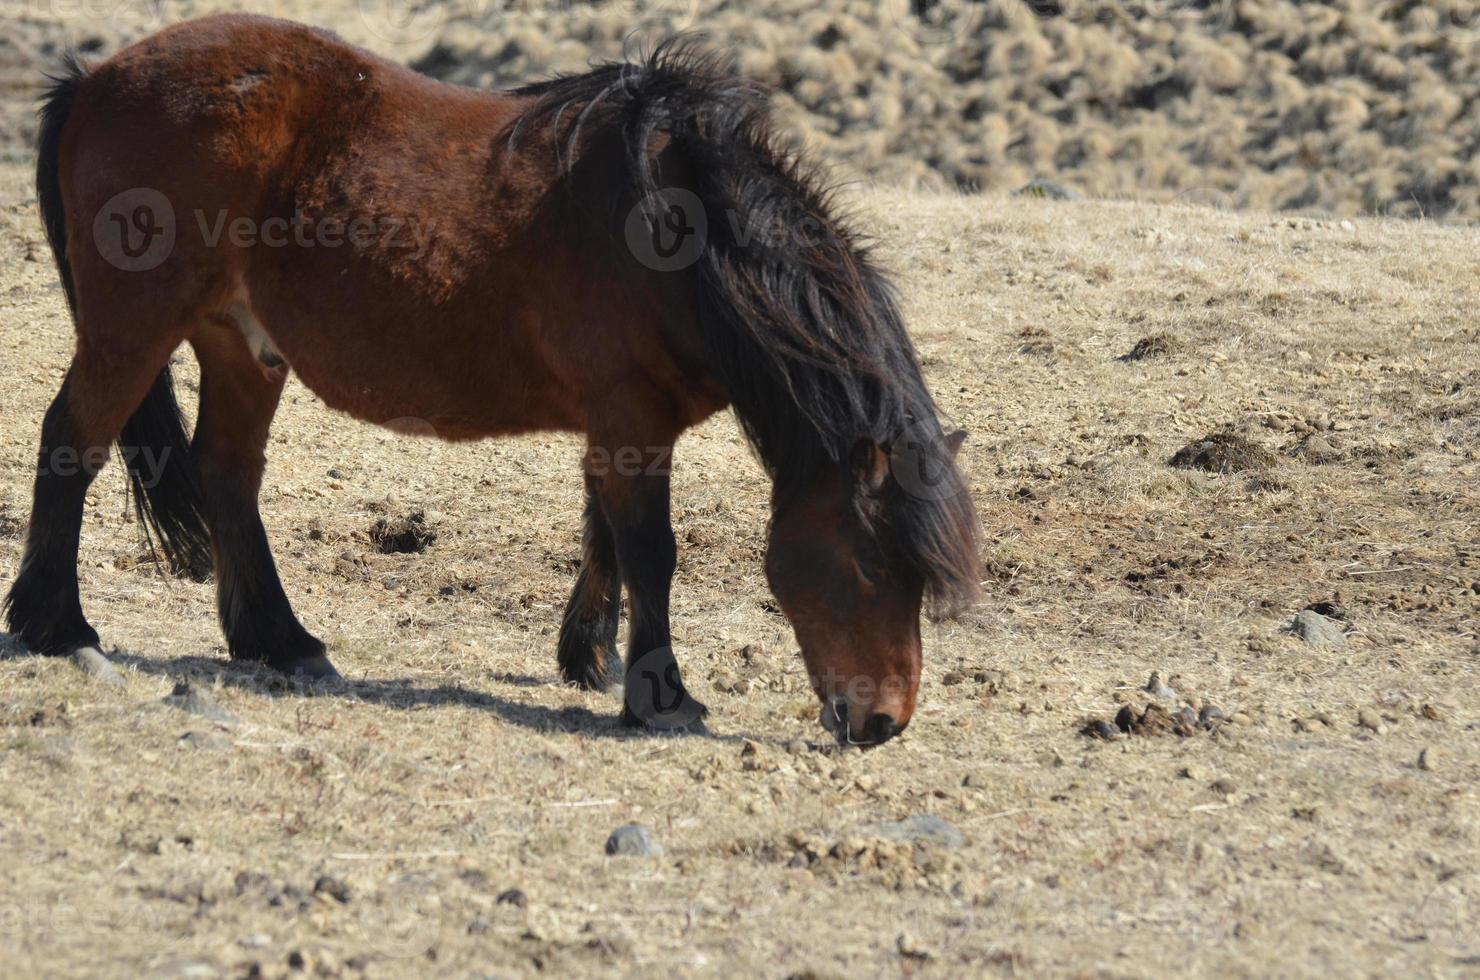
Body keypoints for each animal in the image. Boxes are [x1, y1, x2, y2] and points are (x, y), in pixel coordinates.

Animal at [2, 15, 982, 749]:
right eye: (872, 562)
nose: (884, 722)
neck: (678, 235)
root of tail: (93, 78)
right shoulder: (631, 418)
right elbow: (651, 552)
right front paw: (661, 698)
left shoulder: (620, 421)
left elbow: (603, 537)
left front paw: (590, 659)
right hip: (133, 328)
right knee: (72, 445)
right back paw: (59, 628)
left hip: (241, 346)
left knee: (227, 476)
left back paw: (281, 643)